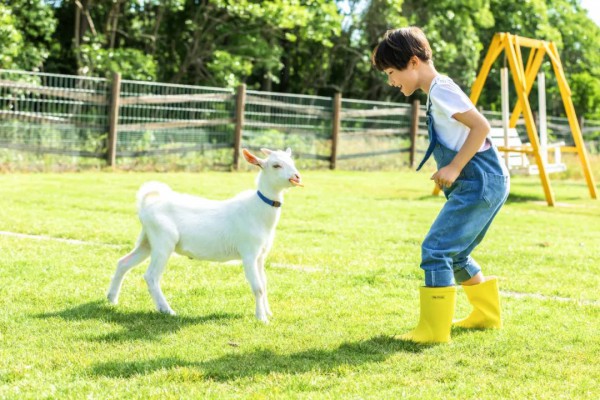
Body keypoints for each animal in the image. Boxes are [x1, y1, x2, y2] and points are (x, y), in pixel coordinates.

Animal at [106, 148, 302, 324]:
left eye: (292, 161)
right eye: (276, 165)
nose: (297, 176)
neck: (257, 209)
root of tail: (147, 204)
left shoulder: (261, 255)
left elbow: (265, 283)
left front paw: (268, 312)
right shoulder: (249, 253)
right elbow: (258, 287)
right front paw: (261, 318)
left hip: (147, 239)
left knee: (123, 262)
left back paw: (111, 299)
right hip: (163, 241)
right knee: (151, 276)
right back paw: (167, 310)